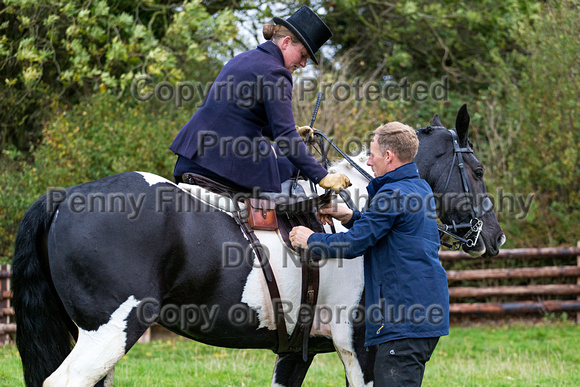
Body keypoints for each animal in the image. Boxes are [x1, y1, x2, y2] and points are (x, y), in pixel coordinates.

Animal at [12, 104, 502, 386]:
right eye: (477, 170)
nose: (493, 238)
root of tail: (63, 196)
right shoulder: (360, 348)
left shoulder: (297, 353)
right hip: (109, 334)